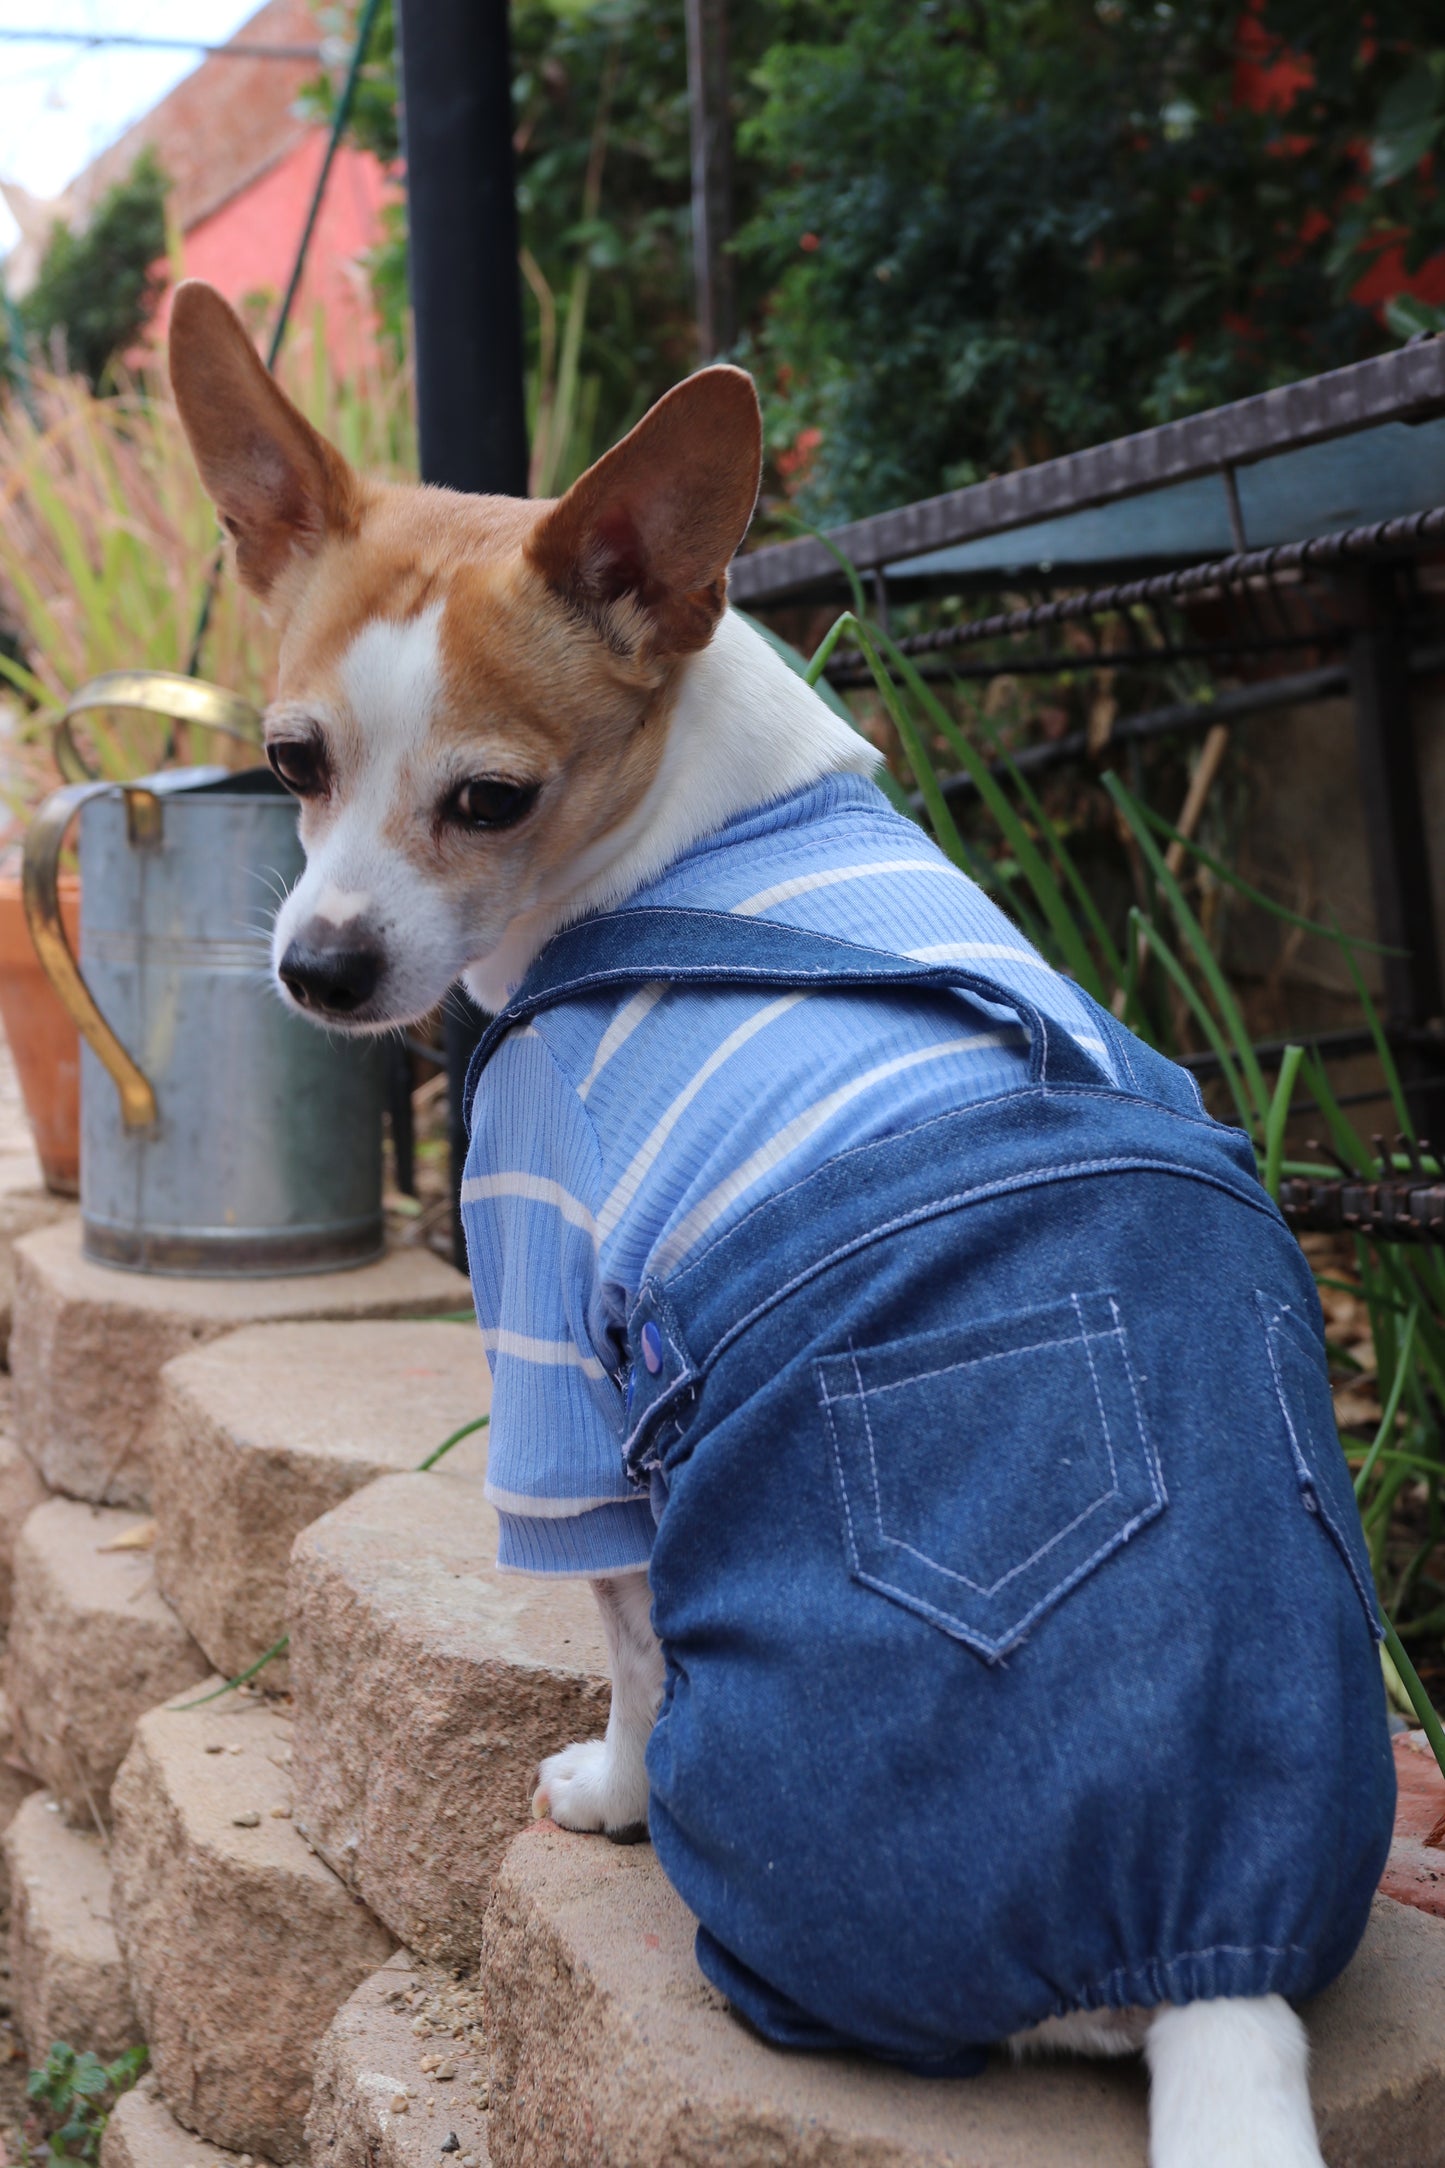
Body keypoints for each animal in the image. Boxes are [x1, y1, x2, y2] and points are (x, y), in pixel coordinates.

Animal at [172, 275, 1403, 2168]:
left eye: (488, 801)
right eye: (287, 762)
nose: (318, 965)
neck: (691, 834)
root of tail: (1216, 1954)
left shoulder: (561, 1352)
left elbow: (618, 1638)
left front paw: (607, 1786)